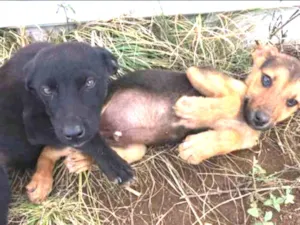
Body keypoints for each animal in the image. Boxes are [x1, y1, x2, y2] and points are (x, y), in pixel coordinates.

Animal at [0, 41, 132, 223]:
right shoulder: (35, 127)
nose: (73, 133)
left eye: (90, 82)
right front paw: (114, 164)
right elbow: (92, 139)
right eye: (46, 90)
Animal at [27, 44, 300, 204]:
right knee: (49, 149)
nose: (260, 120)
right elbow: (235, 99)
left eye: (292, 102)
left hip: (131, 146)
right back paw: (41, 182)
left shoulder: (245, 134)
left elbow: (228, 137)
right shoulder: (198, 72)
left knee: (106, 152)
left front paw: (197, 147)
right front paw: (192, 109)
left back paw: (82, 161)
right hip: (83, 128)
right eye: (266, 80)